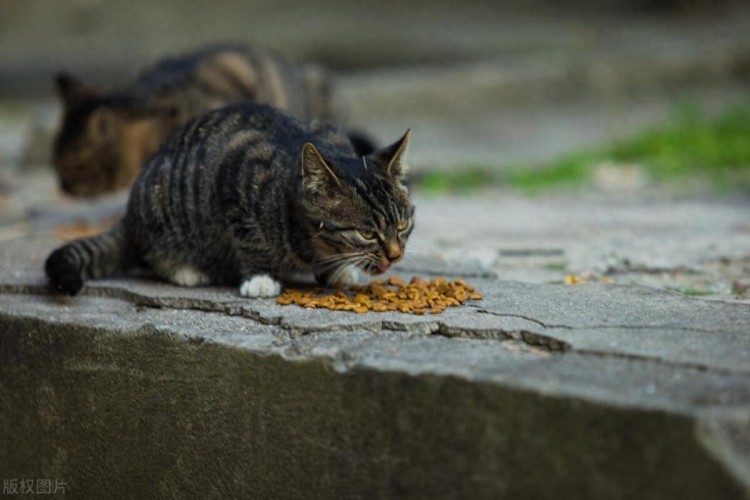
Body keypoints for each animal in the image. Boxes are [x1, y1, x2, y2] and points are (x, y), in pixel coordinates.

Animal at [45, 102, 418, 296]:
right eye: (367, 232)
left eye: (402, 225)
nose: (396, 255)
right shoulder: (237, 171)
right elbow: (251, 238)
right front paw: (261, 278)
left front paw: (338, 270)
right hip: (160, 207)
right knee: (151, 251)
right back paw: (187, 269)